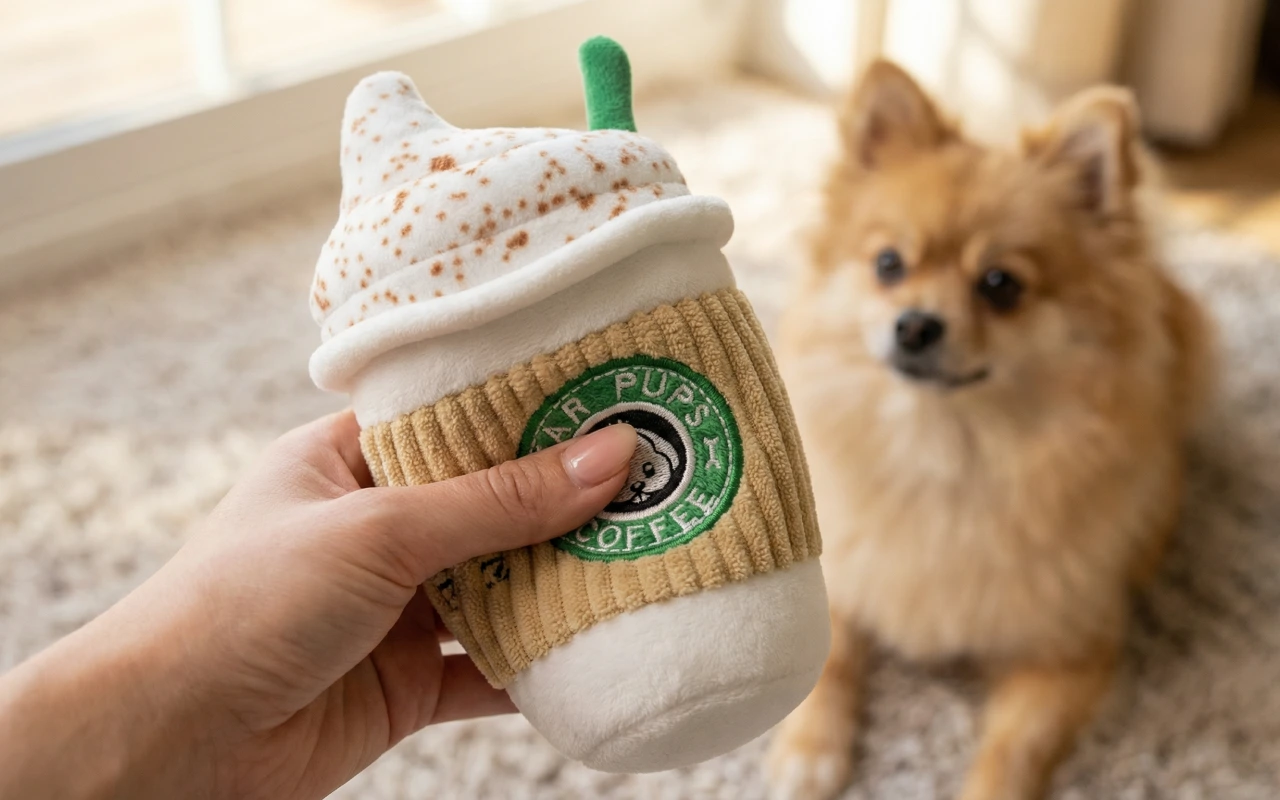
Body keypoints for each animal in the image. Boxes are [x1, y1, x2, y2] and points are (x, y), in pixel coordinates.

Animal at [766, 60, 1213, 800]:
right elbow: (830, 661)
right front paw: (807, 751)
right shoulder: (840, 577)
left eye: (1001, 284)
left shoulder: (1070, 652)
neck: (946, 449)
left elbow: (1014, 750)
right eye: (889, 264)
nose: (915, 324)